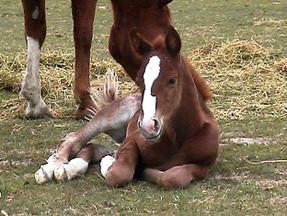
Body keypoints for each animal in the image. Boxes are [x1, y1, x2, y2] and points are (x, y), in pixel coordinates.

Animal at [35, 25, 218, 189]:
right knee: (74, 139)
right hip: (111, 118)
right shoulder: (132, 140)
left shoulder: (203, 165)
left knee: (91, 147)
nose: (148, 126)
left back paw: (72, 169)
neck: (176, 138)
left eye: (172, 80)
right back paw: (51, 169)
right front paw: (113, 164)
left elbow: (173, 177)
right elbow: (118, 174)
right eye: (139, 80)